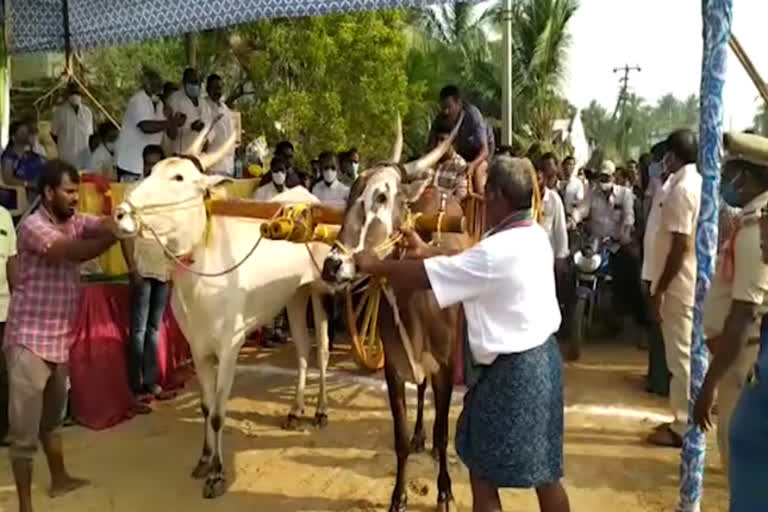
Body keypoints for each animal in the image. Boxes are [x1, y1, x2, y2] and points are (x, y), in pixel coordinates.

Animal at [113, 138, 330, 498]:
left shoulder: (230, 346)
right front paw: (203, 460)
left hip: (321, 287)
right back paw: (296, 410)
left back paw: (321, 411)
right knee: (301, 348)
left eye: (178, 177)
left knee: (322, 351)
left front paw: (217, 474)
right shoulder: (198, 348)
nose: (120, 213)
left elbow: (217, 413)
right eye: (151, 169)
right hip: (294, 296)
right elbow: (204, 406)